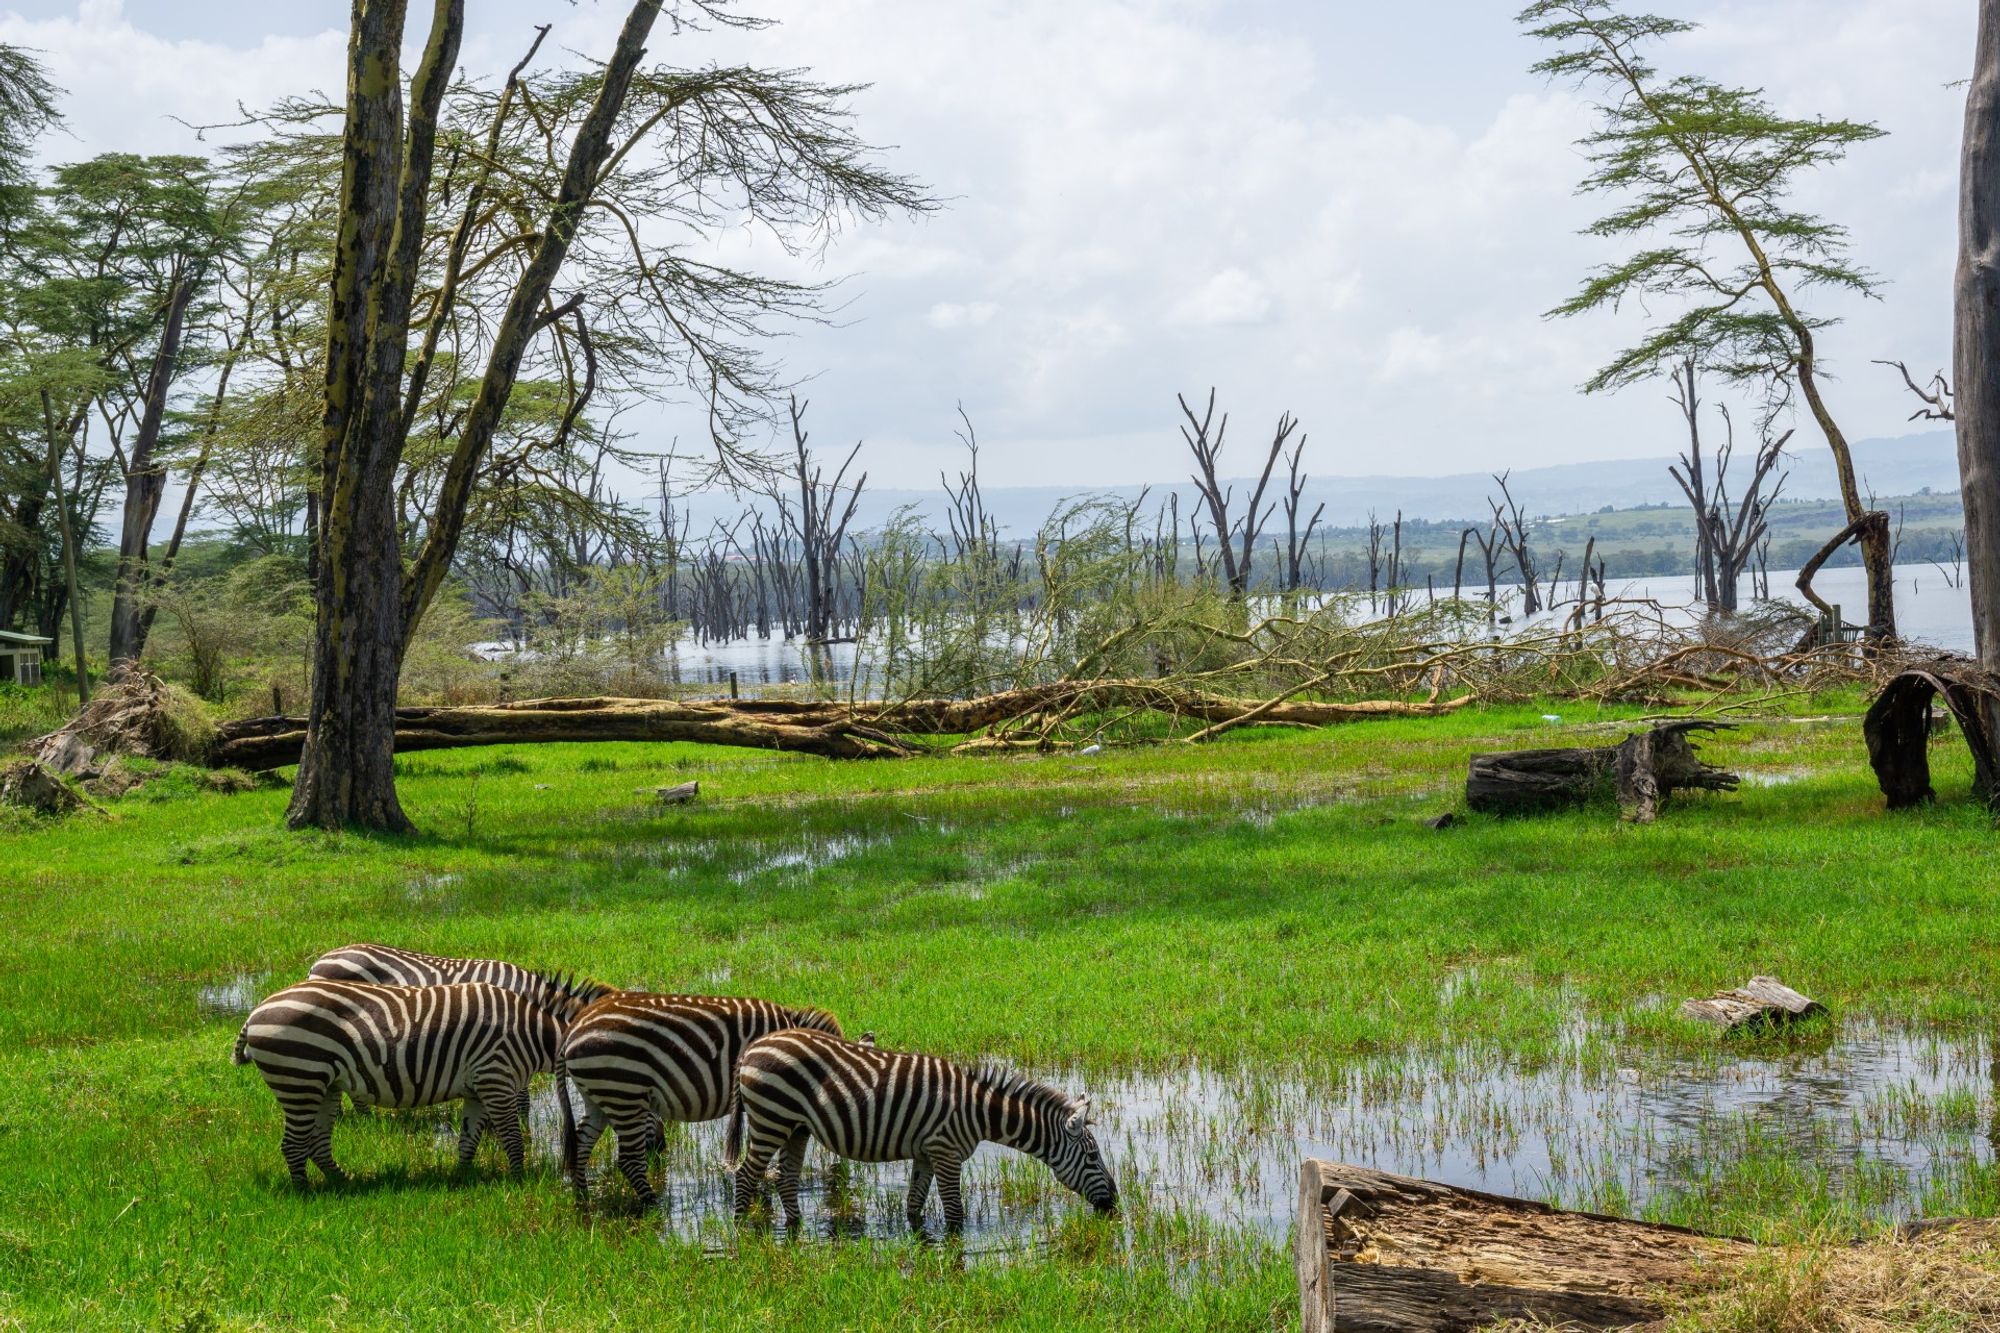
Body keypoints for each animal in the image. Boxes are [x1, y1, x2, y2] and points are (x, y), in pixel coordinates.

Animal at [231, 964, 596, 1184]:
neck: (531, 1030)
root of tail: (255, 1013)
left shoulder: (478, 1089)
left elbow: (468, 1140)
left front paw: (462, 1179)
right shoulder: (496, 1079)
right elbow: (512, 1139)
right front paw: (519, 1180)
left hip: (324, 1086)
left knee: (316, 1143)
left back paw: (343, 1182)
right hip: (299, 1079)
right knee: (293, 1145)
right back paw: (306, 1192)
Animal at [556, 984, 844, 1200]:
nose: (839, 1176)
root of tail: (574, 1028)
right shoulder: (767, 1098)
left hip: (599, 1096)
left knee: (581, 1144)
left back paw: (583, 1199)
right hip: (623, 1093)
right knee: (629, 1161)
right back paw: (652, 1204)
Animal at [728, 1024, 1120, 1224]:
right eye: (1092, 1157)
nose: (1114, 1203)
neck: (977, 1111)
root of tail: (752, 1048)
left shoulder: (926, 1153)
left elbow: (914, 1205)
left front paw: (921, 1245)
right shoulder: (946, 1152)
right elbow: (955, 1213)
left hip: (796, 1127)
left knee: (786, 1179)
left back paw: (795, 1231)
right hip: (771, 1119)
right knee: (746, 1176)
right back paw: (744, 1234)